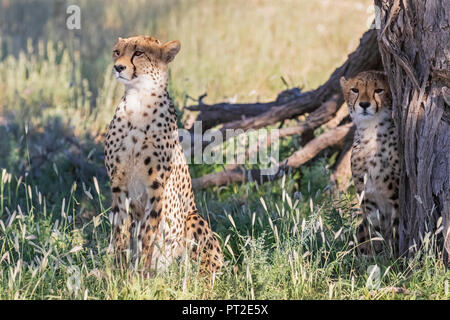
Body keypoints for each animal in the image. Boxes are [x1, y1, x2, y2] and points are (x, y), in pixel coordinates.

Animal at [106, 35, 225, 276]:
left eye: (139, 53)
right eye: (117, 52)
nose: (118, 67)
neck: (138, 101)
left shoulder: (156, 187)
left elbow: (147, 235)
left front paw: (141, 276)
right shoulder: (118, 187)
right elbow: (119, 233)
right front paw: (117, 273)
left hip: (193, 218)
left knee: (206, 270)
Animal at [342, 71, 400, 256]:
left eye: (379, 90)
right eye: (355, 90)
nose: (364, 104)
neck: (371, 130)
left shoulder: (395, 195)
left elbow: (395, 228)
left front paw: (394, 257)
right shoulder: (367, 197)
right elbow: (374, 230)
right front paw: (375, 258)